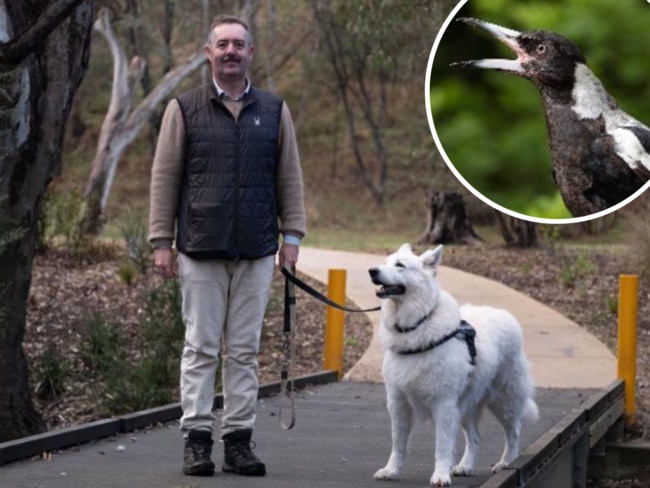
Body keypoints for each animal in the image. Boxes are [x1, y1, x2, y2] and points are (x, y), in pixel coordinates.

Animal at [368, 244, 536, 484]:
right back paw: (465, 466)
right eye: (385, 262)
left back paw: (506, 464)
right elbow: (398, 444)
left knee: (514, 432)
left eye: (400, 265)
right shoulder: (398, 403)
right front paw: (391, 470)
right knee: (475, 438)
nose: (372, 271)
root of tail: (507, 316)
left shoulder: (444, 404)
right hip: (466, 406)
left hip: (504, 401)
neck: (418, 324)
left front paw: (440, 476)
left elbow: (442, 445)